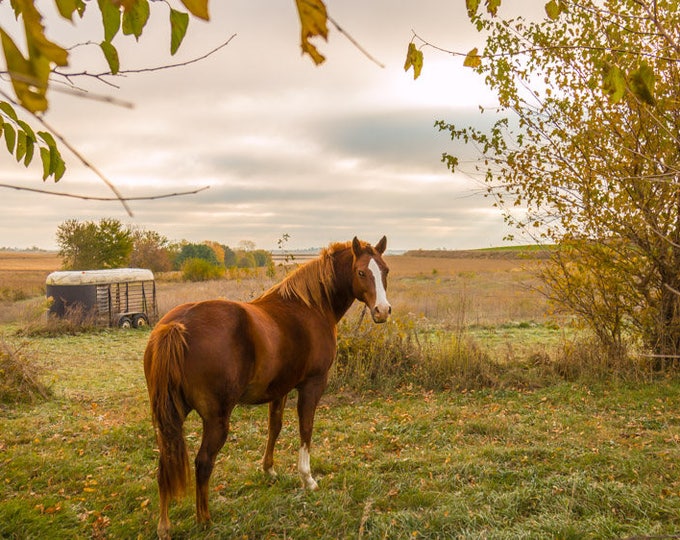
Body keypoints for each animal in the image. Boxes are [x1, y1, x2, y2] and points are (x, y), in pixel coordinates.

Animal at [143, 235, 390, 536]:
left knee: (164, 464)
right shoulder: (312, 384)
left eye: (385, 271)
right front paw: (307, 479)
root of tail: (176, 326)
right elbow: (306, 428)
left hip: (169, 417)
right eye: (362, 272)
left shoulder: (279, 389)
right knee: (203, 463)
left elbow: (275, 426)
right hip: (216, 420)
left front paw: (269, 469)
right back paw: (205, 519)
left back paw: (164, 525)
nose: (382, 311)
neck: (310, 307)